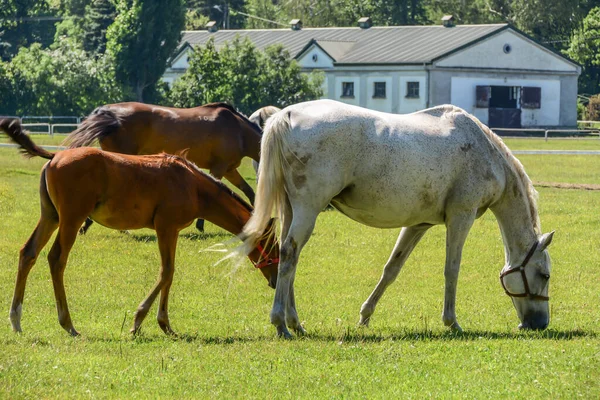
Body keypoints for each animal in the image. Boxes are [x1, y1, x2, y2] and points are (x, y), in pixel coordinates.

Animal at [0, 117, 278, 336]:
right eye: (273, 247)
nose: (276, 281)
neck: (192, 185)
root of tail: (55, 155)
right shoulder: (166, 228)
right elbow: (166, 272)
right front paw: (139, 321)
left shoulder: (173, 231)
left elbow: (170, 273)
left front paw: (165, 325)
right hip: (71, 219)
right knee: (56, 259)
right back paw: (68, 323)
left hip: (51, 216)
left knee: (28, 253)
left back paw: (16, 320)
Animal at [65, 102, 262, 234]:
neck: (239, 131)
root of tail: (108, 113)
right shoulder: (219, 167)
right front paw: (200, 225)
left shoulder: (229, 169)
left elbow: (250, 191)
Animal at [243, 99, 552, 338]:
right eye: (545, 274)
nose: (539, 324)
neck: (484, 151)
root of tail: (284, 115)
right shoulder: (460, 217)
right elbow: (451, 270)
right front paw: (452, 322)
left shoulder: (418, 224)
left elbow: (392, 269)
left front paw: (365, 316)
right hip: (308, 208)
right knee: (290, 253)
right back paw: (281, 324)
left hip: (291, 210)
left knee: (287, 257)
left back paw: (295, 323)